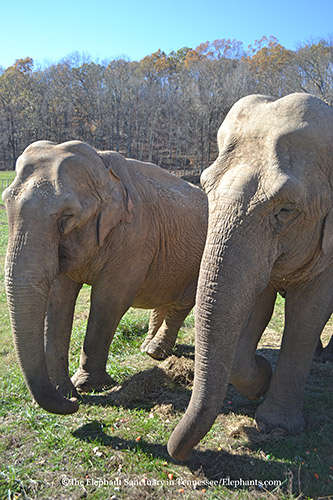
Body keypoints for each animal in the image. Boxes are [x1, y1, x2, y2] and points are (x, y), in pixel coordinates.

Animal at [2, 141, 206, 414]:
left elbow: (109, 300)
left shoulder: (135, 236)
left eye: (67, 216)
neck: (101, 166)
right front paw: (65, 389)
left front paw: (88, 386)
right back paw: (146, 346)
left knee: (183, 302)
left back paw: (155, 351)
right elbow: (58, 301)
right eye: (5, 203)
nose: (74, 402)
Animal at [167, 93, 330, 460]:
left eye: (285, 210)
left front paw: (276, 427)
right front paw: (261, 379)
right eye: (204, 187)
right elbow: (255, 302)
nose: (178, 454)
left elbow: (308, 314)